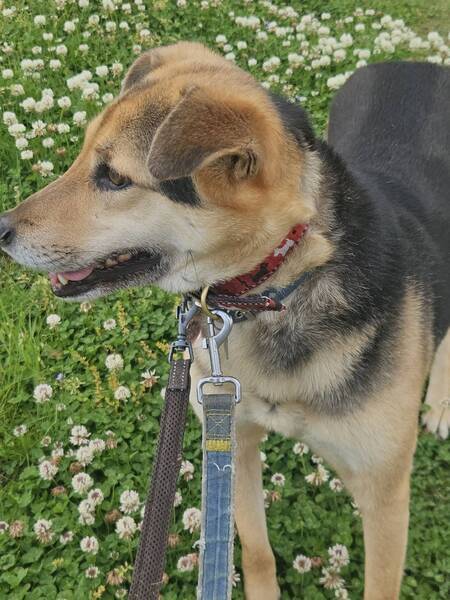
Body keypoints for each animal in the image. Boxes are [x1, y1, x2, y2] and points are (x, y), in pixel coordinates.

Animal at [0, 42, 449, 599]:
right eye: (84, 156)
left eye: (116, 177)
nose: (1, 230)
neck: (276, 286)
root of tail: (413, 63)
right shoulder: (230, 433)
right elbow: (255, 549)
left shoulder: (384, 494)